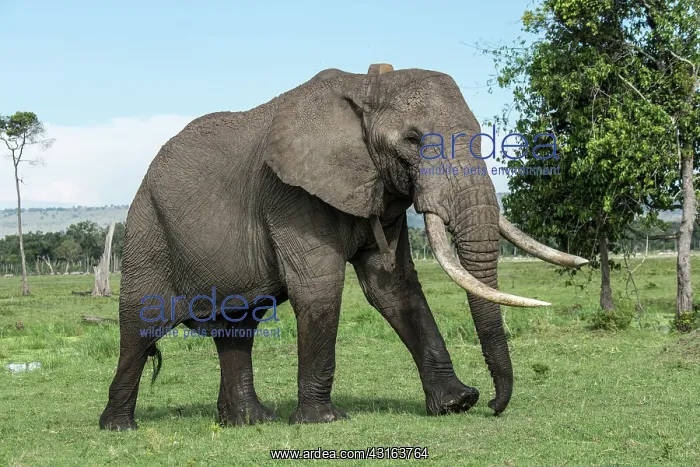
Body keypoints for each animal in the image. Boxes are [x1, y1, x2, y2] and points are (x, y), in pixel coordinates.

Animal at [99, 63, 587, 431]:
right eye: (414, 140)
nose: (492, 405)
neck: (365, 86)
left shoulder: (380, 192)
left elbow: (394, 288)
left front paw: (455, 403)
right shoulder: (289, 194)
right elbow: (319, 288)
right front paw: (324, 421)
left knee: (237, 327)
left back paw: (251, 422)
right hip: (147, 230)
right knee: (141, 327)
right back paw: (119, 427)